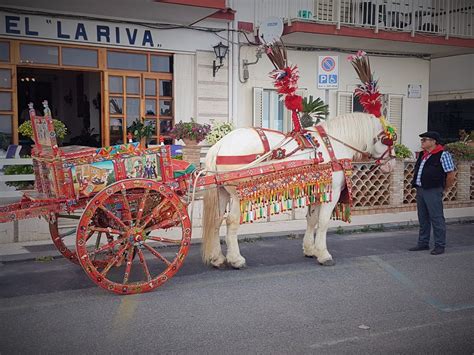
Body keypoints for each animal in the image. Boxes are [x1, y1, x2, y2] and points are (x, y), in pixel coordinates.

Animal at [202, 112, 394, 268]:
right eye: (388, 140)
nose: (391, 164)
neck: (332, 146)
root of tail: (220, 145)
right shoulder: (332, 192)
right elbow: (323, 222)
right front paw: (324, 254)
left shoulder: (316, 190)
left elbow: (312, 220)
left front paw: (310, 249)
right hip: (238, 194)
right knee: (231, 222)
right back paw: (236, 259)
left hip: (222, 191)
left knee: (217, 221)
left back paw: (217, 258)